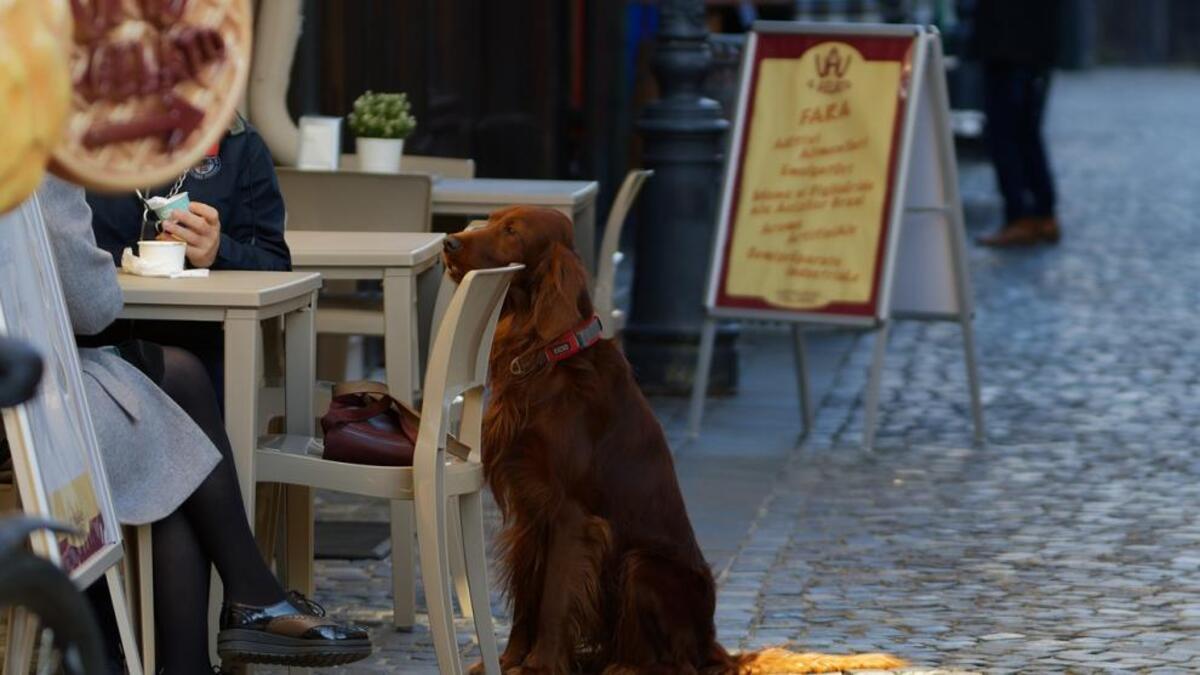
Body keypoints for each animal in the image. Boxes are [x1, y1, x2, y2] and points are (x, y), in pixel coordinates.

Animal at [446, 206, 902, 672]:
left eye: (511, 231)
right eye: (491, 220)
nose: (448, 242)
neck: (549, 359)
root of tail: (712, 644)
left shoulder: (571, 515)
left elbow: (554, 601)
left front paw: (540, 665)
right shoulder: (529, 513)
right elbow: (526, 598)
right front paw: (508, 660)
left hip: (643, 566)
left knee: (671, 663)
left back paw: (624, 667)